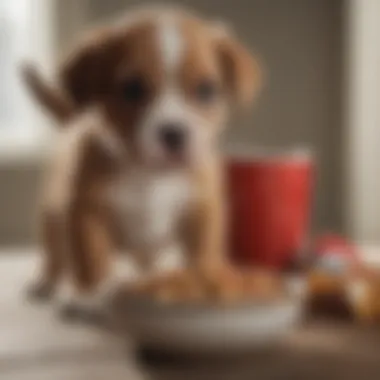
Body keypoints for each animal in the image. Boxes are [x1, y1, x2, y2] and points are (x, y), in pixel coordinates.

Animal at [23, 6, 262, 312]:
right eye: (133, 89)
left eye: (206, 89)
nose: (174, 132)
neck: (151, 174)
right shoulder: (87, 214)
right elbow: (92, 260)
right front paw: (92, 296)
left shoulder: (202, 212)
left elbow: (203, 256)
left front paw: (204, 284)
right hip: (51, 219)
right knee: (55, 257)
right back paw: (46, 284)